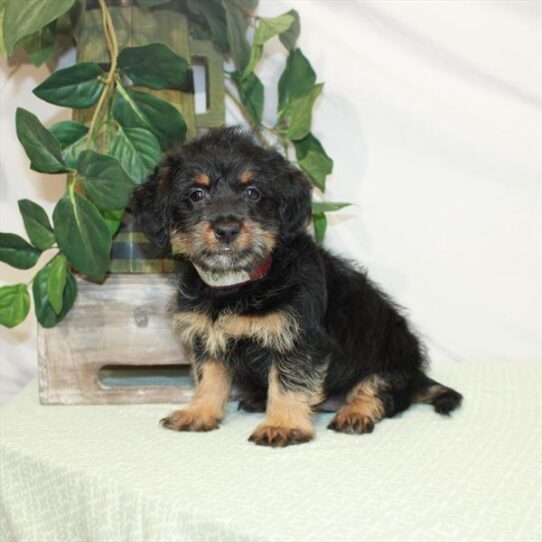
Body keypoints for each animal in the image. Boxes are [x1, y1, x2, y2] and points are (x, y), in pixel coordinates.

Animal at [132, 129, 464, 450]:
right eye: (196, 194)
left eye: (253, 193)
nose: (227, 229)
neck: (241, 283)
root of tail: (416, 377)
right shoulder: (209, 337)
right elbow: (210, 377)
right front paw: (200, 412)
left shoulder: (299, 341)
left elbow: (288, 383)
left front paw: (283, 425)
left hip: (391, 352)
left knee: (377, 390)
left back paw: (355, 413)